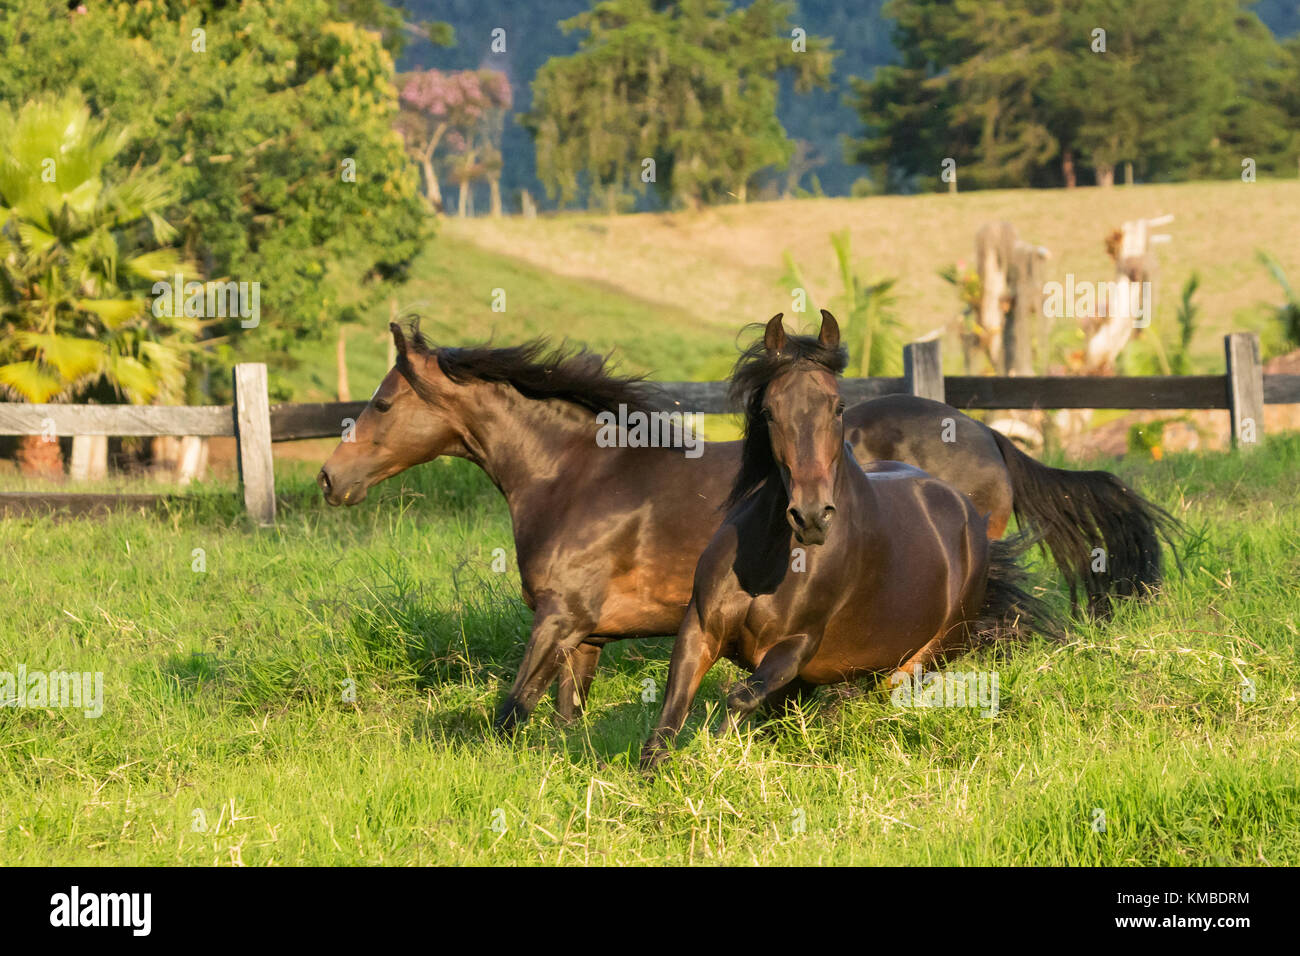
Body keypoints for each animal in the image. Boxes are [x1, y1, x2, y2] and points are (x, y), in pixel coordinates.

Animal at [318, 320, 1168, 731]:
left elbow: (510, 710)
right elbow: (561, 719)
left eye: (383, 403)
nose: (329, 477)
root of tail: (991, 435)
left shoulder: (557, 618)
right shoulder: (587, 634)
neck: (577, 473)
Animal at [640, 313, 1061, 770]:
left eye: (838, 406)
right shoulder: (698, 629)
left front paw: (714, 755)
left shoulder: (797, 646)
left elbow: (740, 700)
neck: (768, 562)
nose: (811, 516)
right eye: (768, 411)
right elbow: (667, 722)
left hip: (919, 659)